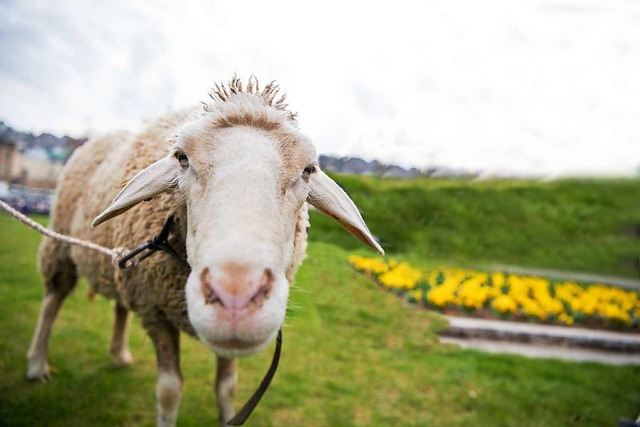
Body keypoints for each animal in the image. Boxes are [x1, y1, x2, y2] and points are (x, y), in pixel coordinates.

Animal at [27, 77, 382, 427]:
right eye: (182, 158)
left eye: (308, 170)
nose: (236, 298)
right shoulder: (155, 312)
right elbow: (170, 391)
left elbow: (227, 387)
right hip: (61, 244)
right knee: (52, 300)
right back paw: (37, 365)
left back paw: (119, 354)